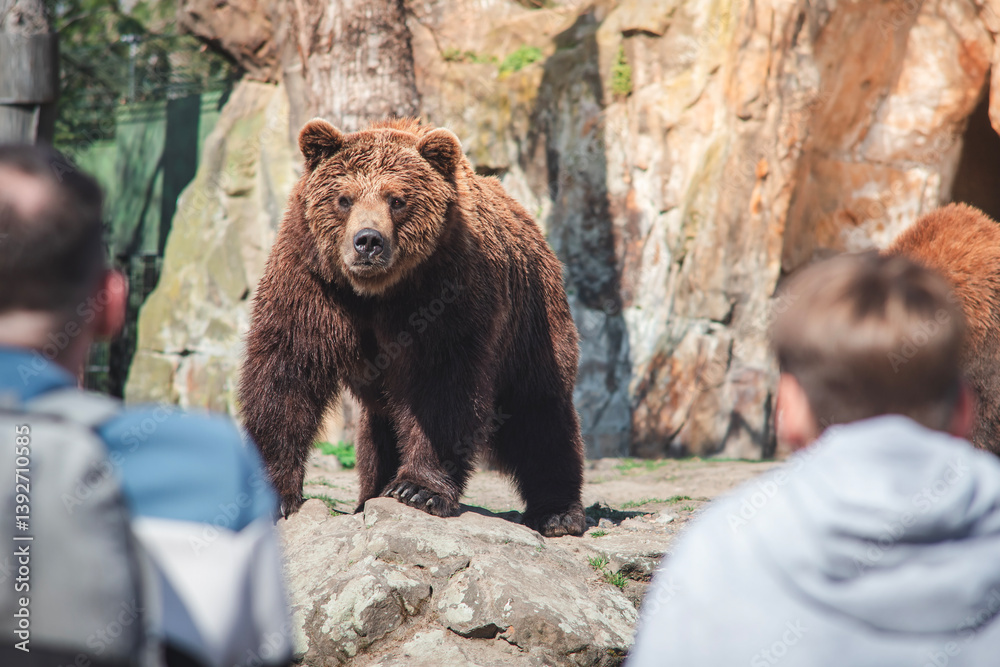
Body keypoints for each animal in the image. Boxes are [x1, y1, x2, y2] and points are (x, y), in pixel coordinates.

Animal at [238, 117, 588, 537]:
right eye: (344, 198)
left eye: (397, 199)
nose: (367, 241)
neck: (375, 293)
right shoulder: (311, 282)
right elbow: (285, 374)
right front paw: (274, 494)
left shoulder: (444, 291)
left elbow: (441, 385)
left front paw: (418, 489)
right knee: (380, 425)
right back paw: (369, 494)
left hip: (532, 319)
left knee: (540, 411)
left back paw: (558, 513)